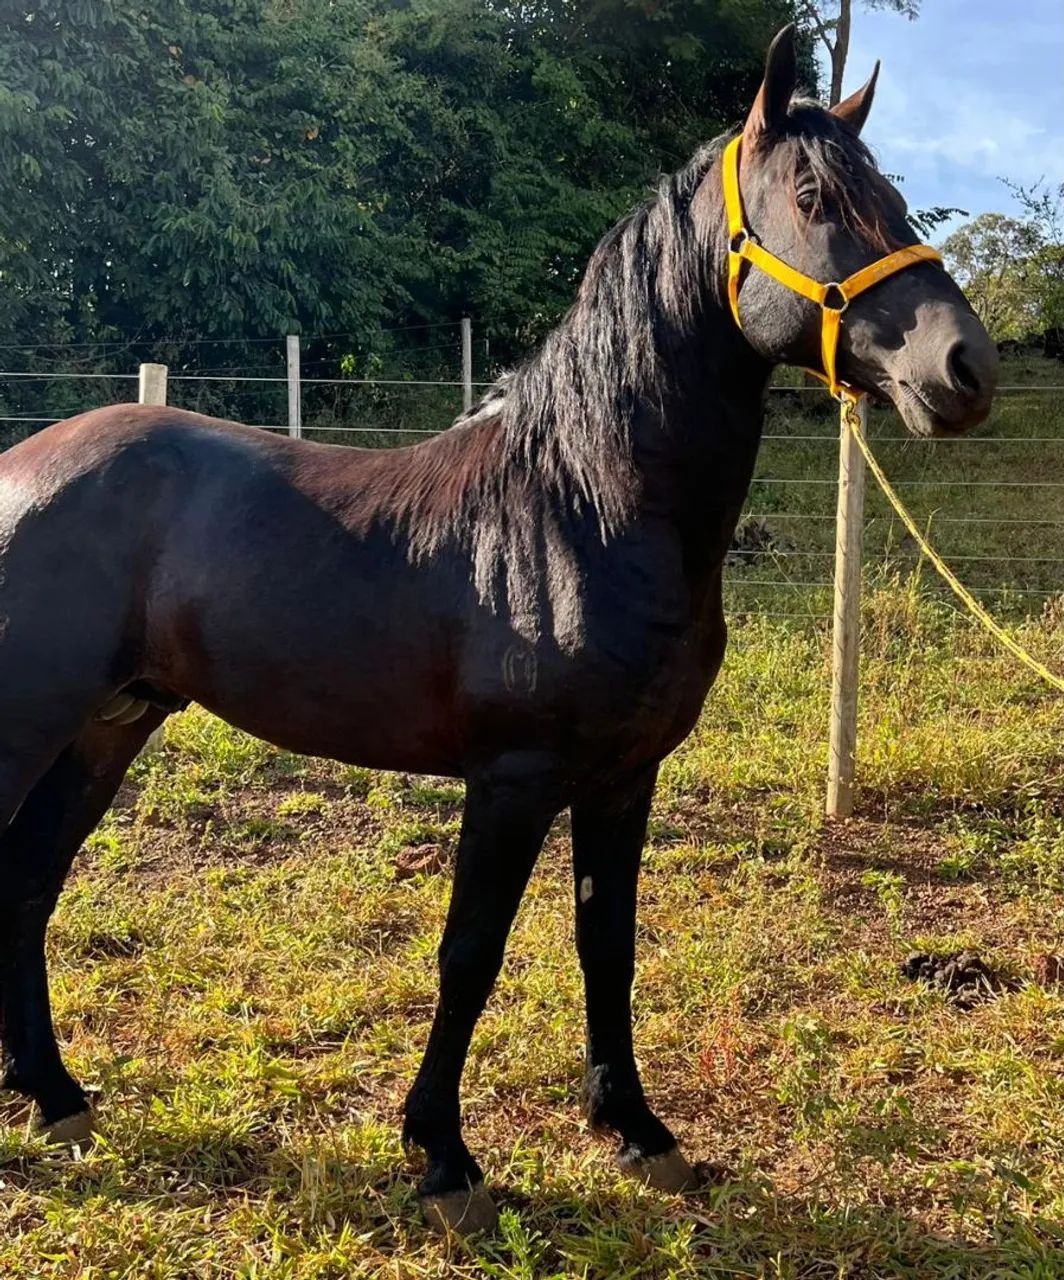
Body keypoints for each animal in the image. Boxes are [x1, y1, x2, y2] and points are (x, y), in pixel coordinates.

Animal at [0, 25, 997, 1233]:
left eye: (892, 197)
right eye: (812, 196)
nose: (966, 367)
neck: (584, 502)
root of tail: (18, 467)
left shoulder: (624, 776)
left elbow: (606, 944)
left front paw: (637, 1131)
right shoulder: (514, 778)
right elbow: (469, 953)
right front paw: (444, 1155)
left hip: (106, 726)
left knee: (27, 883)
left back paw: (55, 1099)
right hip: (32, 722)